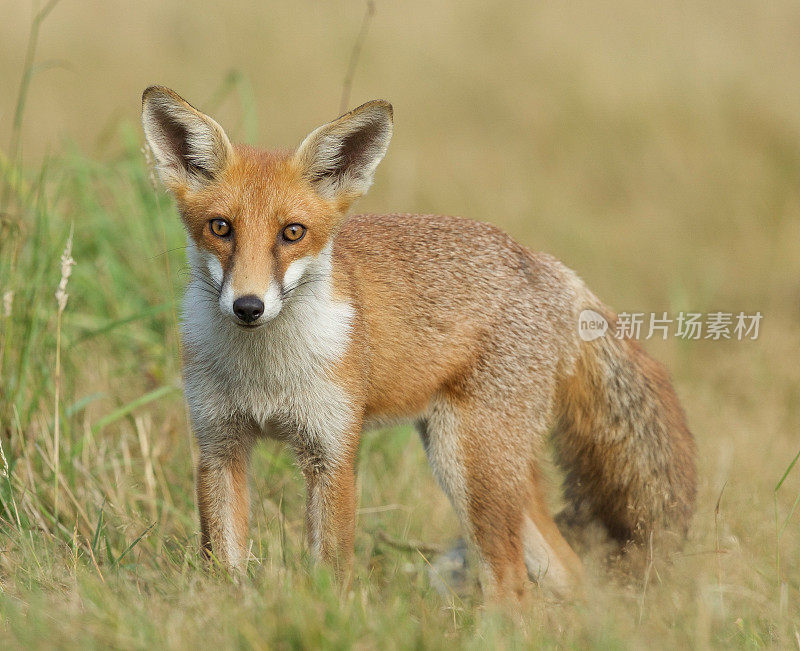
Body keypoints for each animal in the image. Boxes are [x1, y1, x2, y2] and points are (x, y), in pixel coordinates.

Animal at [142, 85, 692, 600]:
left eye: (292, 233)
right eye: (221, 228)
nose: (248, 306)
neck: (266, 376)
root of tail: (546, 264)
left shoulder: (333, 452)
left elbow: (331, 572)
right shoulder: (220, 445)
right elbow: (223, 566)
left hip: (470, 465)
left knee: (512, 586)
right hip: (478, 466)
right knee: (568, 575)